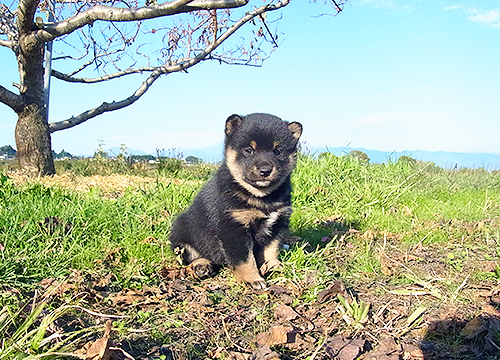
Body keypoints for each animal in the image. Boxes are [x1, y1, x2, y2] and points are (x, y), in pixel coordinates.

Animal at [169, 112, 300, 290]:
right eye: (248, 150)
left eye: (278, 151)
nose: (265, 170)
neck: (262, 197)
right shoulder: (234, 228)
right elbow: (245, 260)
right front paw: (253, 279)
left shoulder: (277, 224)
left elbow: (271, 251)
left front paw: (273, 267)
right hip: (182, 232)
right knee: (190, 254)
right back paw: (202, 265)